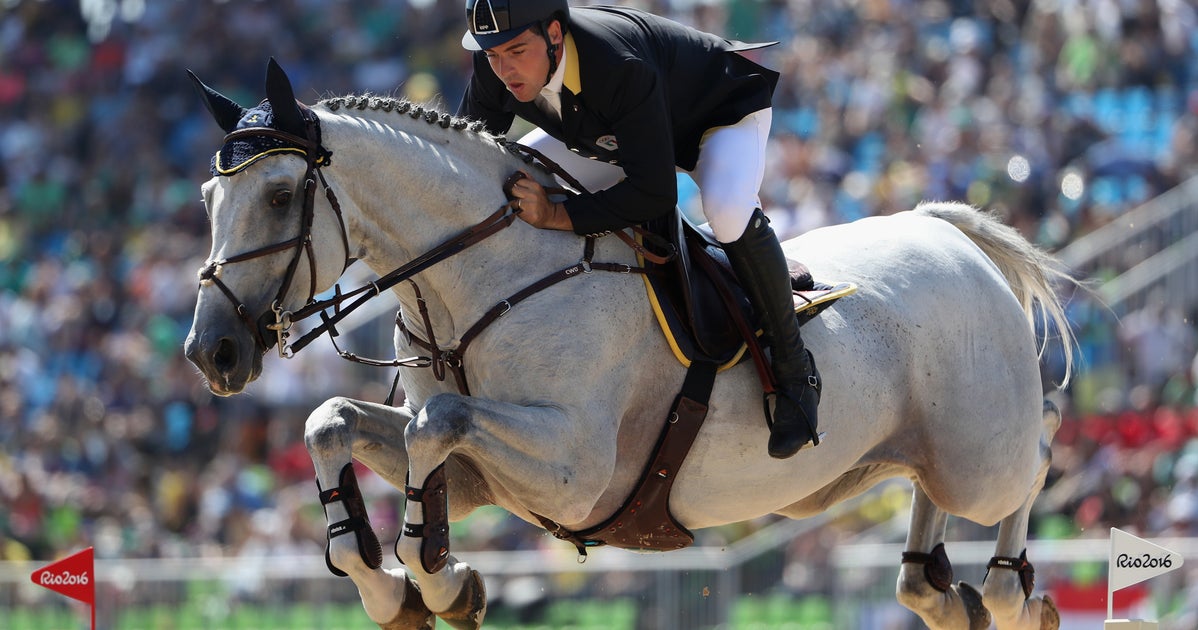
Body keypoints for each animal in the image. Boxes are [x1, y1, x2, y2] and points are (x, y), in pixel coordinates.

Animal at [184, 59, 1075, 630]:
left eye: (280, 194)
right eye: (205, 197)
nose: (210, 355)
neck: (485, 277)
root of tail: (946, 231)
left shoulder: (575, 471)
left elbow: (435, 425)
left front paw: (436, 580)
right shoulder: (482, 480)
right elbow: (333, 423)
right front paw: (401, 590)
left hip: (981, 455)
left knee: (1038, 451)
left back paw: (1012, 596)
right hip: (929, 453)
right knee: (937, 499)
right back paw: (937, 591)